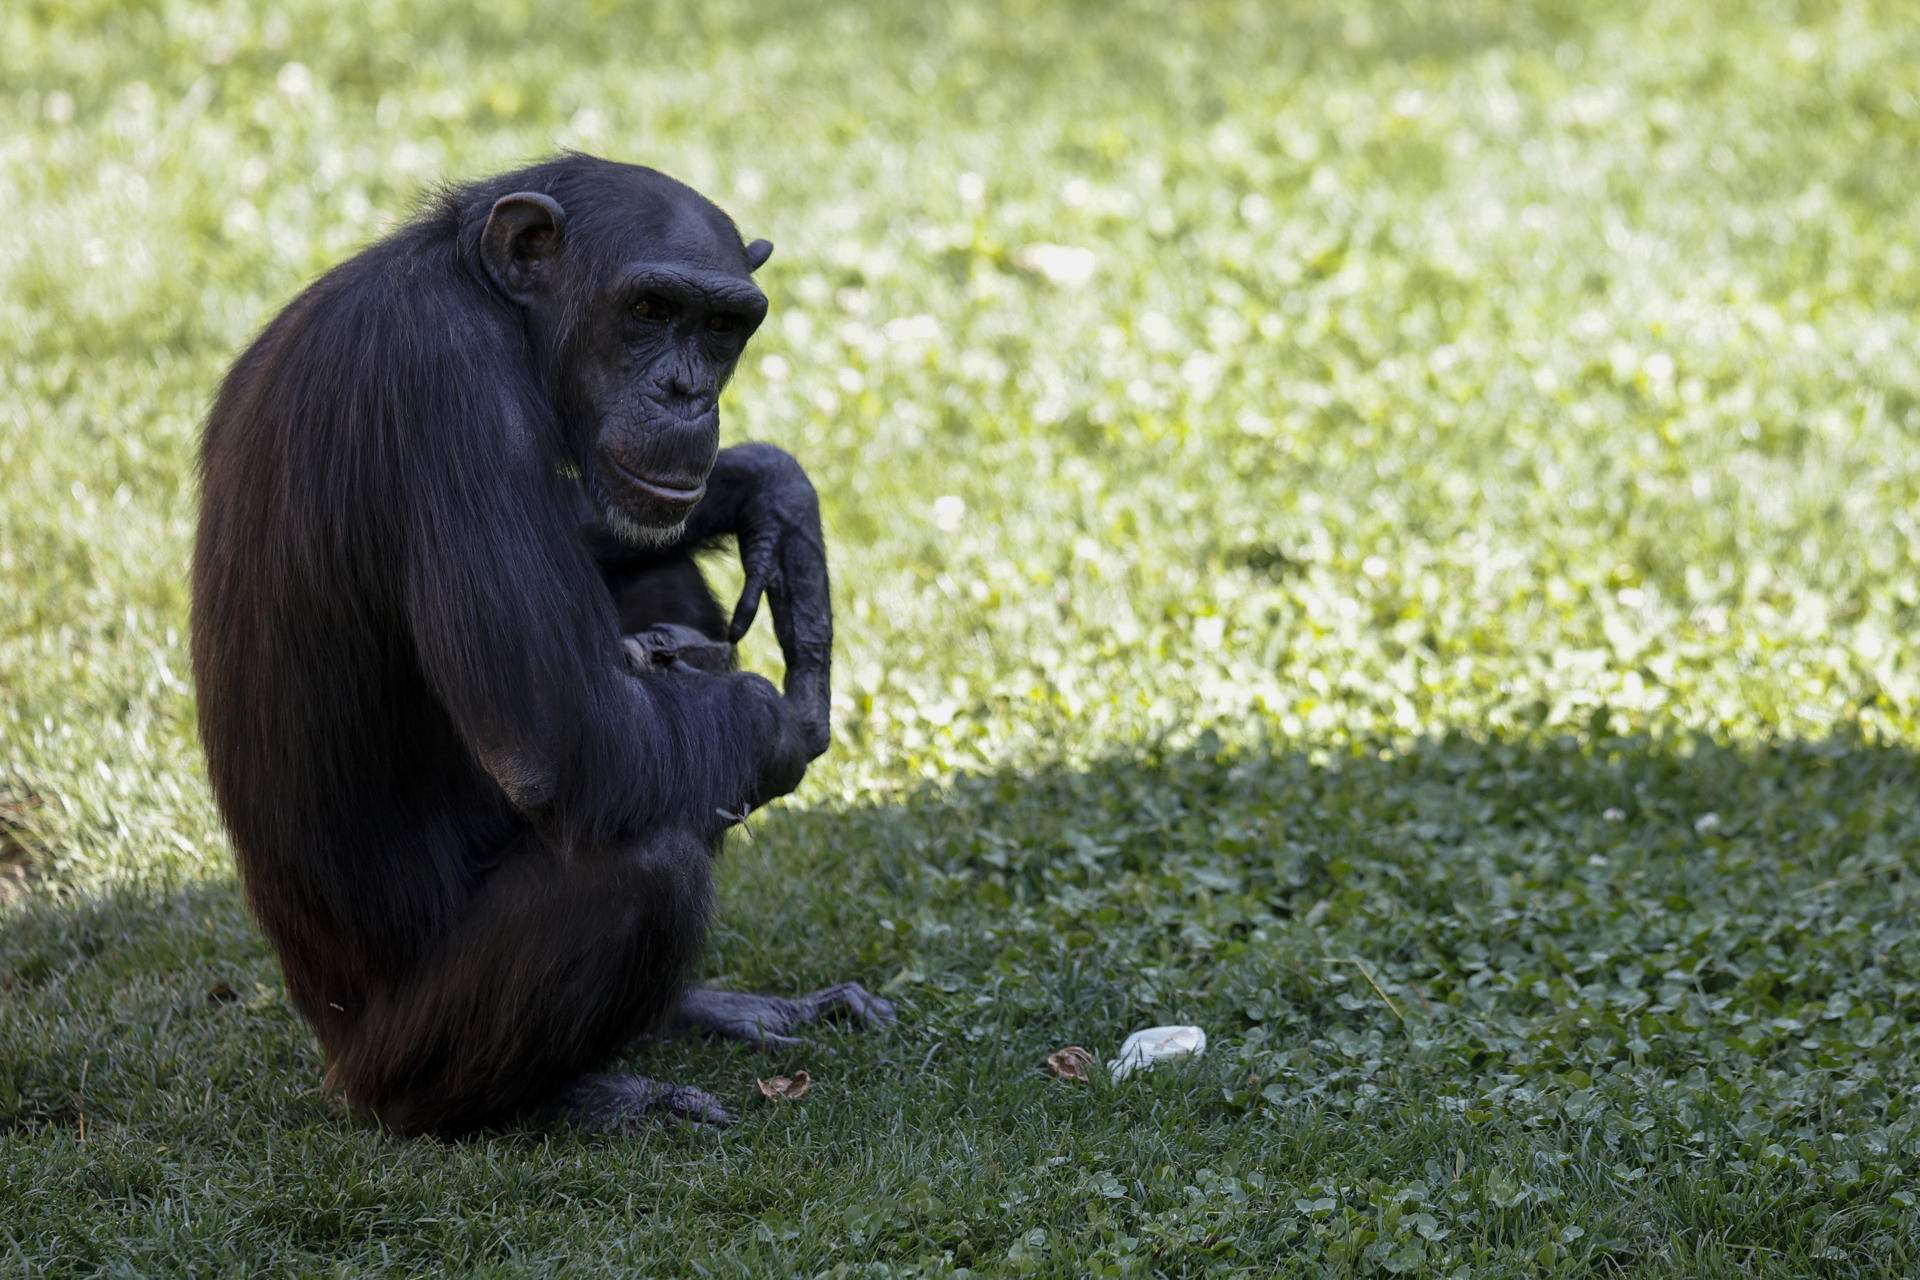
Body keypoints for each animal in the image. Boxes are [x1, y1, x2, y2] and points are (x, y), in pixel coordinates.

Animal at [191, 155, 894, 1136]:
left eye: (722, 326)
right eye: (649, 310)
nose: (688, 394)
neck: (484, 298)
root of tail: (330, 1052)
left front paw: (773, 494)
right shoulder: (449, 389)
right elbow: (563, 737)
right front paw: (779, 723)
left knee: (659, 583)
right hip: (397, 1050)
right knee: (645, 864)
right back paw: (572, 1096)